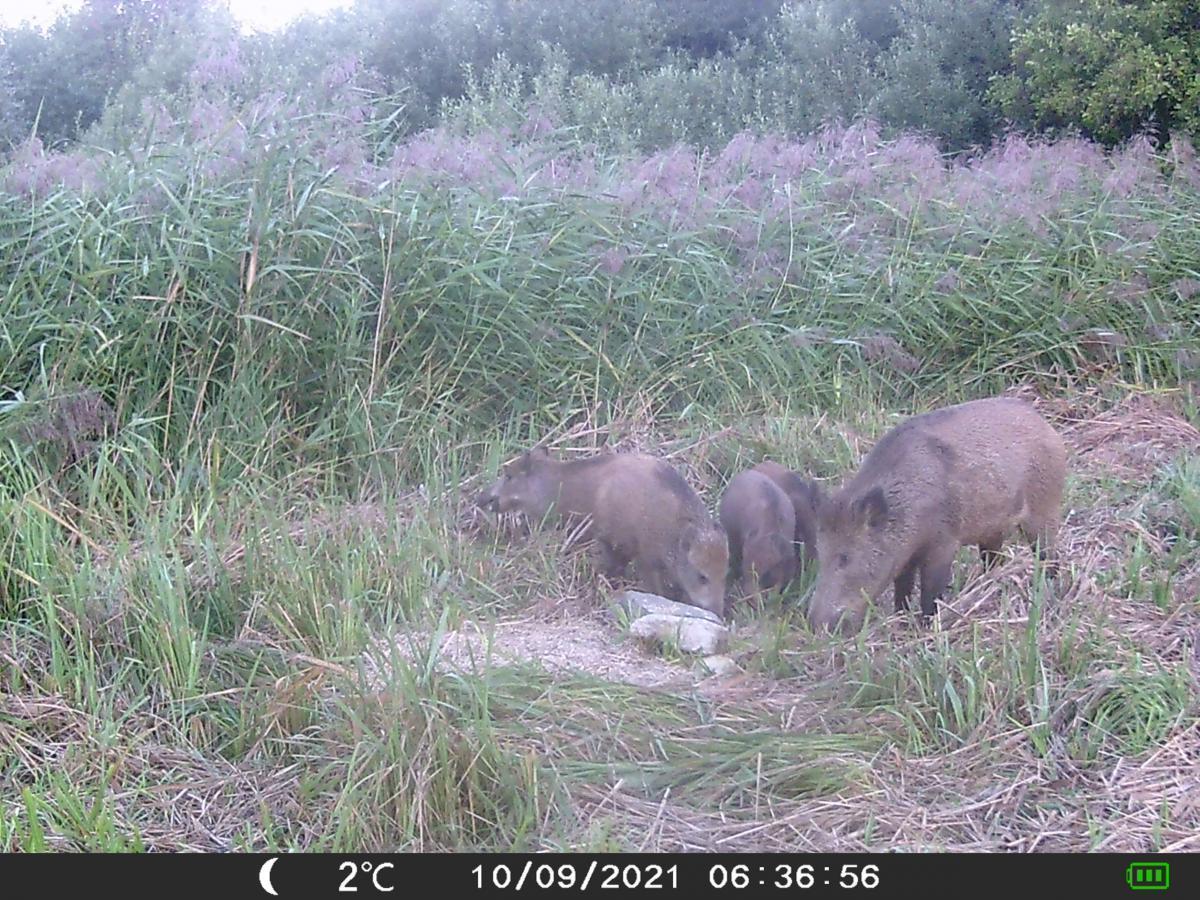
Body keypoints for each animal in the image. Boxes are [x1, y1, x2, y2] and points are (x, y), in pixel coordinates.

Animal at [807, 397, 1067, 634]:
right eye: (820, 554)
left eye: (845, 558)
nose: (814, 624)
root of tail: (1048, 427)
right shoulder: (905, 556)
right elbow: (903, 586)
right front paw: (901, 618)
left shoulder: (943, 542)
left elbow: (931, 589)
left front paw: (928, 626)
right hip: (994, 529)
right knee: (993, 559)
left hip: (1044, 511)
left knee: (1049, 554)